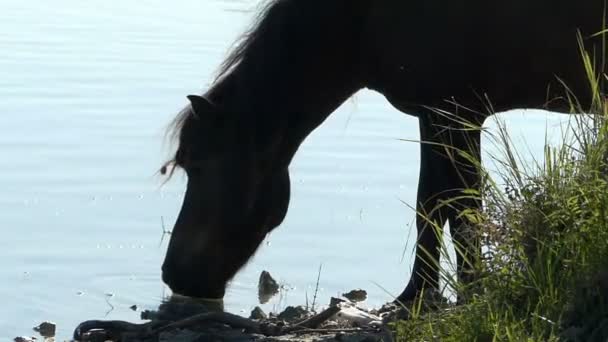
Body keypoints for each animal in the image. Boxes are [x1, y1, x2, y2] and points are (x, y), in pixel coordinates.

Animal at [159, 0, 604, 304]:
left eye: (197, 165)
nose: (171, 274)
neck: (362, 19)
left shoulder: (458, 114)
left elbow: (461, 207)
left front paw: (469, 291)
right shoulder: (435, 116)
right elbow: (432, 204)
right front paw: (418, 296)